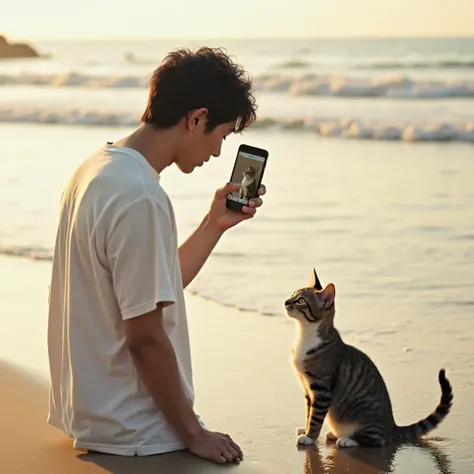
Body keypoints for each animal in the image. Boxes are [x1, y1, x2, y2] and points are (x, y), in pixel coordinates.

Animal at [284, 270, 454, 448]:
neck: (305, 335)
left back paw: (347, 439)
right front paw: (305, 429)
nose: (286, 301)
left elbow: (315, 417)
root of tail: (392, 426)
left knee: (377, 440)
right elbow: (309, 413)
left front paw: (309, 436)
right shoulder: (308, 389)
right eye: (293, 294)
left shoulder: (321, 389)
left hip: (366, 416)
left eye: (301, 300)